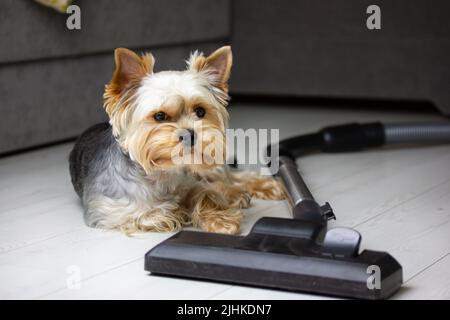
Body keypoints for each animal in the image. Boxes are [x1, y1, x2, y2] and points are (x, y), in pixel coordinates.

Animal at [68, 45, 286, 235]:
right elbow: (154, 213)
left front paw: (220, 220)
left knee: (229, 177)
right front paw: (179, 211)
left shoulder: (194, 180)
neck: (163, 173)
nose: (190, 134)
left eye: (200, 111)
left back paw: (263, 188)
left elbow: (205, 193)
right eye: (159, 116)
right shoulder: (109, 213)